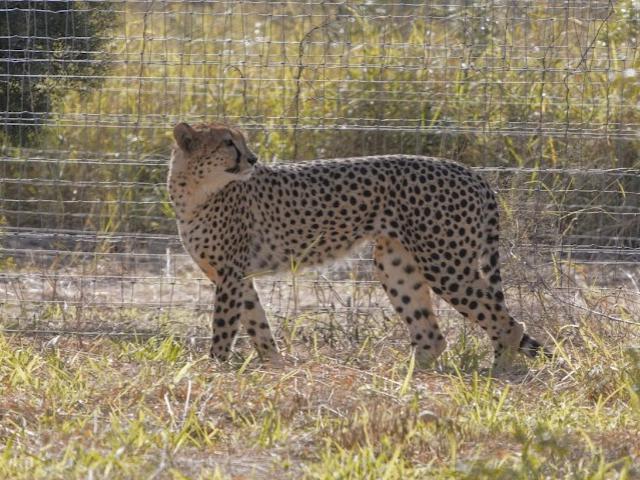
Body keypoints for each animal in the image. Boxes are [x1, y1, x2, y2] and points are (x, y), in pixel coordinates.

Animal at [170, 123, 552, 368]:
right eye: (227, 143)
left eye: (240, 141)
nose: (253, 159)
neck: (193, 188)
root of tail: (470, 171)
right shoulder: (237, 276)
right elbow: (258, 324)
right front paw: (274, 365)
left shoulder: (230, 274)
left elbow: (223, 326)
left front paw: (214, 370)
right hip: (395, 263)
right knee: (432, 334)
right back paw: (407, 378)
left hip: (443, 262)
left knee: (506, 323)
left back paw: (500, 372)